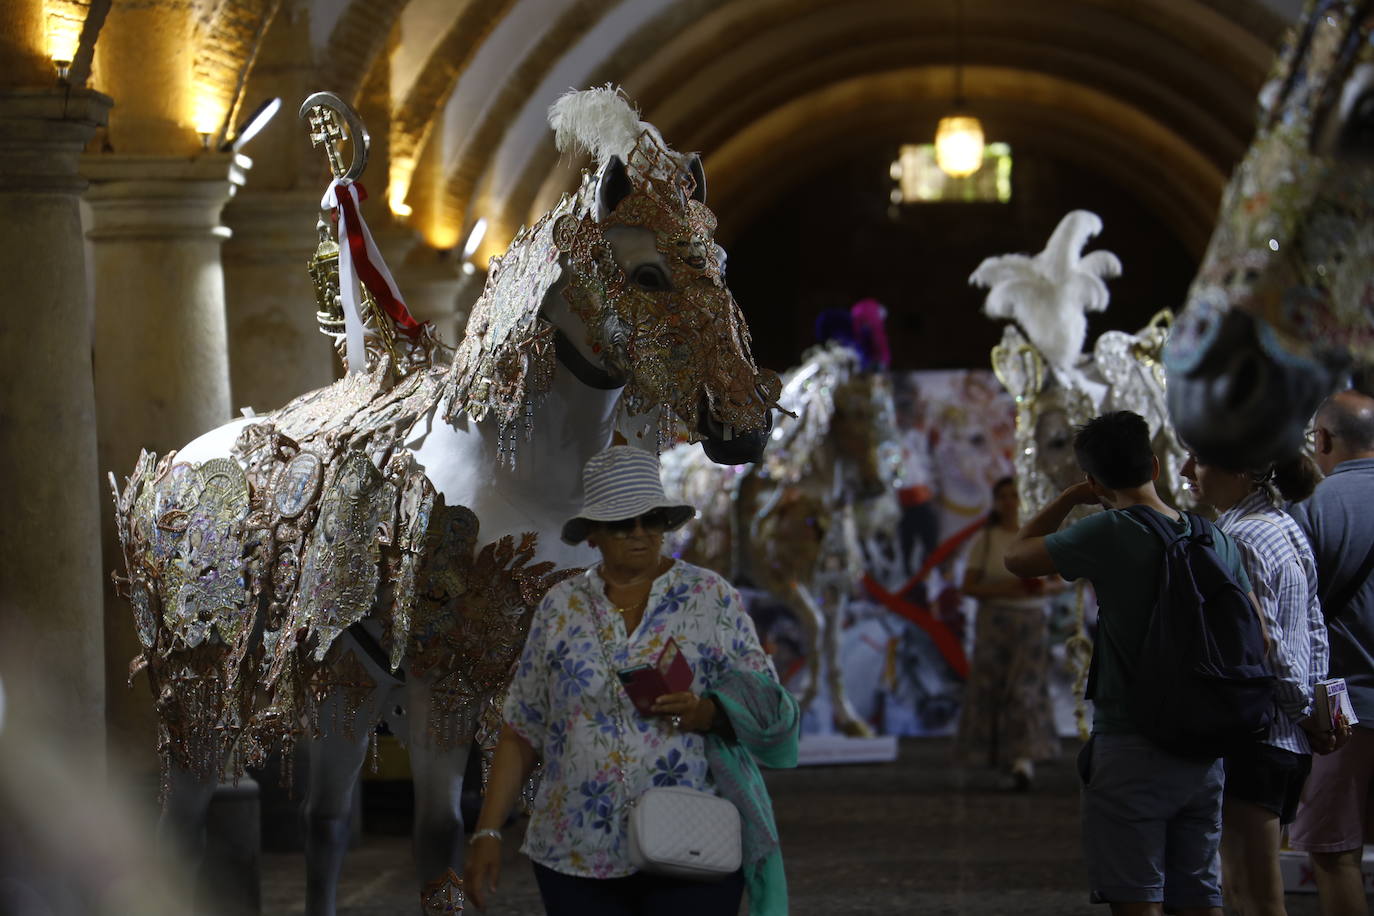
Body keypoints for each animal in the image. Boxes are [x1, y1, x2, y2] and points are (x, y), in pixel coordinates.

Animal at [109, 87, 774, 916]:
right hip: (197, 681)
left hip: (347, 683)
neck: (514, 472)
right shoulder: (444, 682)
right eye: (649, 275)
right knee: (184, 824)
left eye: (720, 267)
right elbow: (438, 844)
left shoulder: (512, 674)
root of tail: (163, 471)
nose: (746, 428)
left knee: (326, 824)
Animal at [656, 339, 895, 736]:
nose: (875, 485)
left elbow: (831, 643)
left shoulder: (833, 586)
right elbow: (814, 628)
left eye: (883, 415)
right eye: (852, 412)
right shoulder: (779, 578)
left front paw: (849, 720)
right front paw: (804, 700)